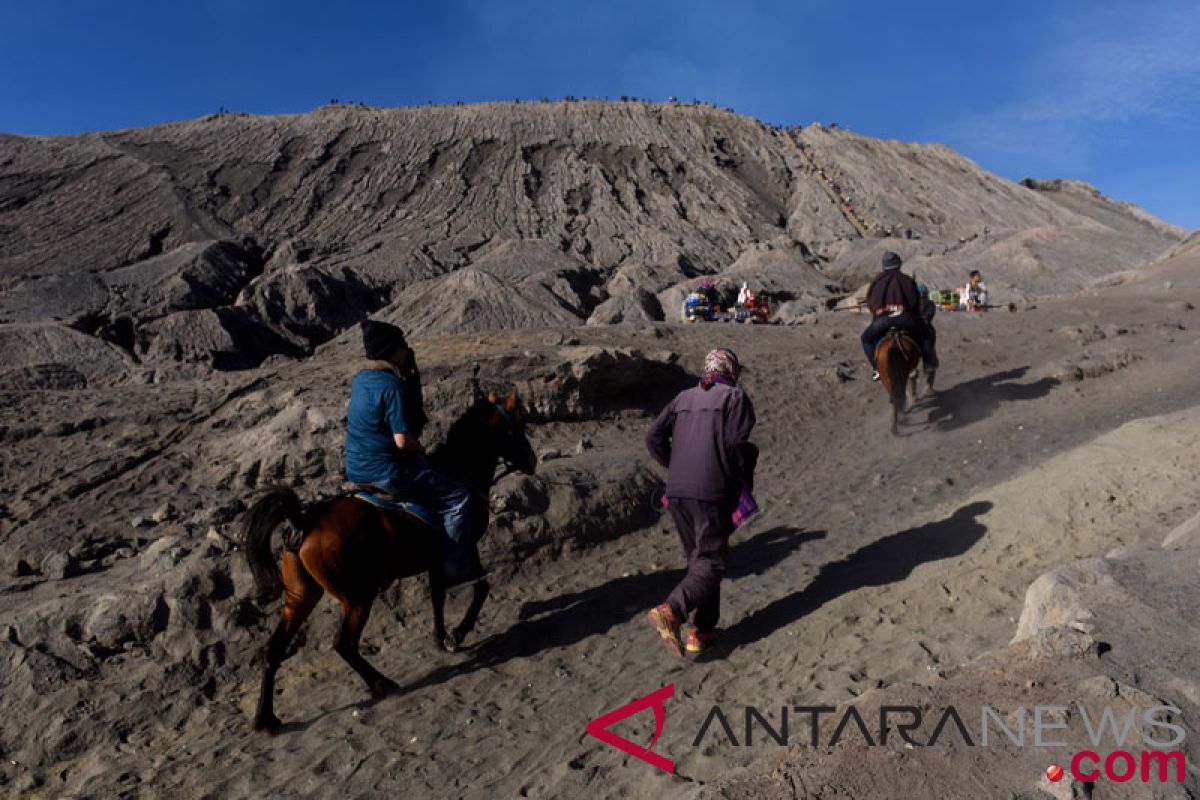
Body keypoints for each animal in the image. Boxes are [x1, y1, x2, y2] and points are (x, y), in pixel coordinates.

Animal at [238, 391, 535, 734]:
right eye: (521, 423)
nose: (532, 460)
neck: (457, 469)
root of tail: (303, 520)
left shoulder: (436, 557)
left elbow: (437, 596)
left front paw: (440, 638)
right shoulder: (463, 547)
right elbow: (480, 589)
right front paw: (456, 634)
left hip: (301, 597)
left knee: (272, 651)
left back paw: (266, 719)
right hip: (357, 597)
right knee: (344, 644)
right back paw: (382, 684)